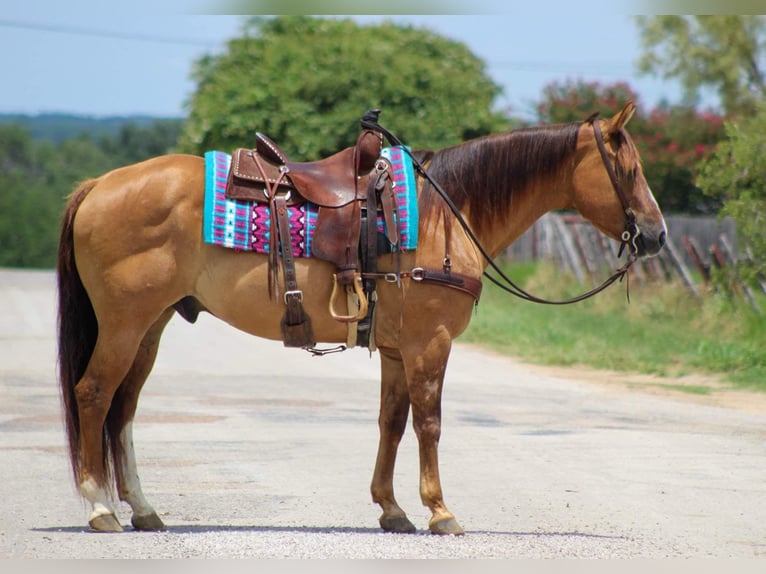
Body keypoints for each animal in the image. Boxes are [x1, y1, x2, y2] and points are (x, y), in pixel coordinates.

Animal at [56, 102, 666, 535]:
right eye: (629, 169)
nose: (656, 235)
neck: (446, 213)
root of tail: (98, 185)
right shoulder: (430, 344)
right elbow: (429, 424)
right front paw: (440, 511)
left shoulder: (397, 350)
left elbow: (391, 423)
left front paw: (392, 509)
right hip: (124, 326)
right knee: (94, 395)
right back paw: (99, 508)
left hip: (150, 327)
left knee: (123, 409)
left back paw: (142, 508)